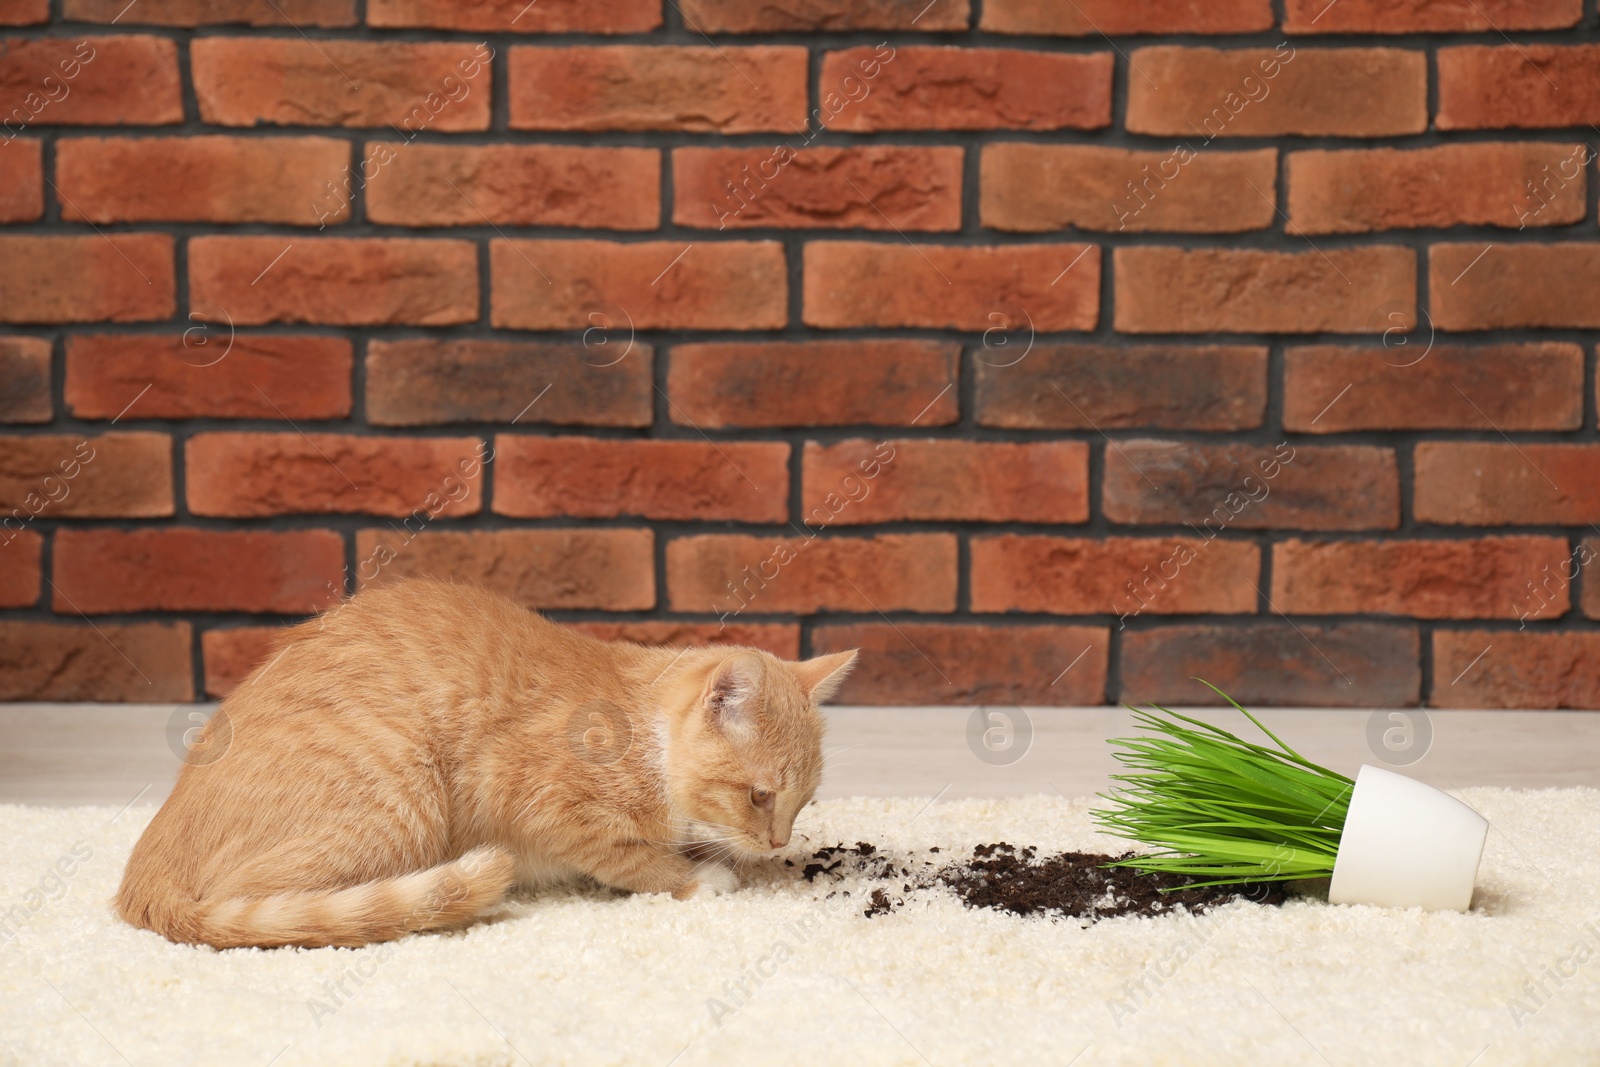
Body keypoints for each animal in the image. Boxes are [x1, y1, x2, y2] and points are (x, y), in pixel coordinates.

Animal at [116, 579, 857, 947]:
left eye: (801, 802)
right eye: (760, 795)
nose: (778, 842)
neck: (641, 733)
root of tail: (143, 875)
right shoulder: (537, 802)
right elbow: (630, 858)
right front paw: (698, 876)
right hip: (399, 801)